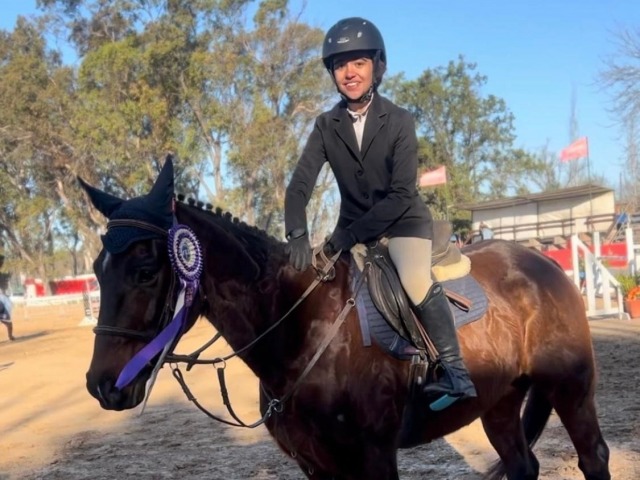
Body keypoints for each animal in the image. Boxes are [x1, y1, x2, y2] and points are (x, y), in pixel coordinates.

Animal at [80, 158, 608, 480]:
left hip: (571, 389)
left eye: (146, 271)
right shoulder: (315, 464)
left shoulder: (374, 458)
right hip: (498, 402)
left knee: (593, 456)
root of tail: (542, 262)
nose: (102, 386)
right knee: (523, 464)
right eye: (97, 271)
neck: (301, 334)